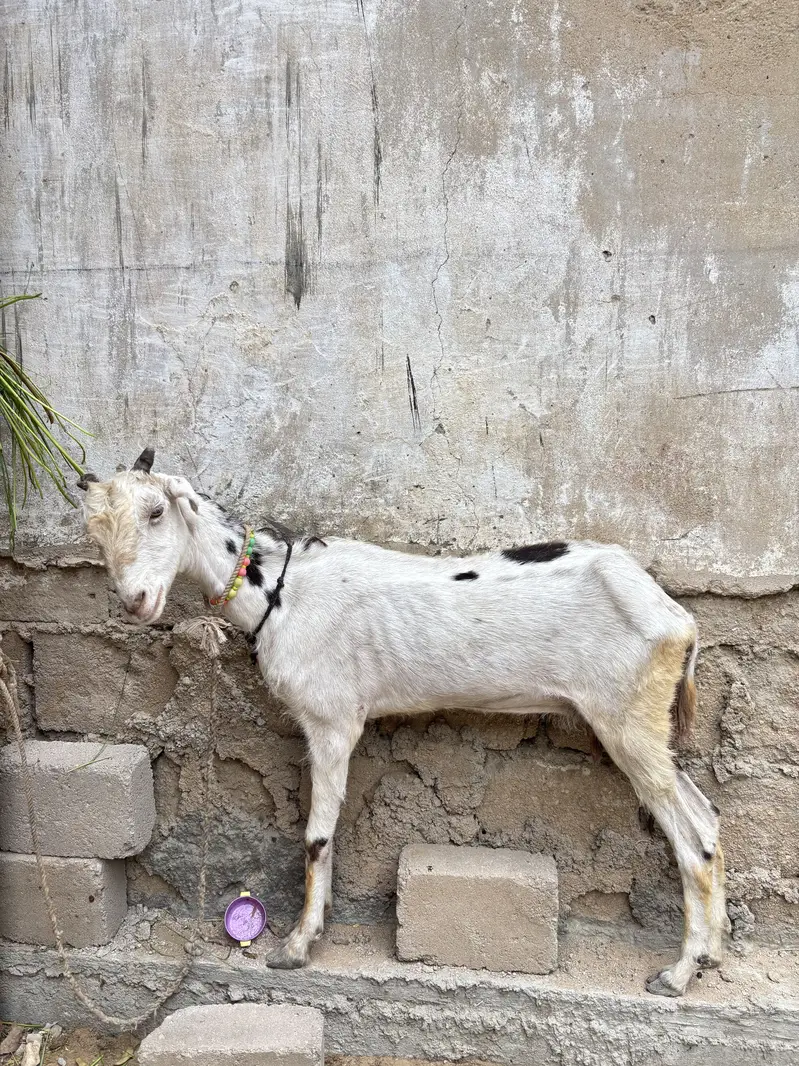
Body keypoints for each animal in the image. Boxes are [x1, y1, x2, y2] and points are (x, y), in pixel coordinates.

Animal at [77, 448, 728, 996]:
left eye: (157, 510)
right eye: (95, 530)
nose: (136, 602)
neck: (280, 589)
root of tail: (677, 617)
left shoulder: (332, 719)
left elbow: (316, 835)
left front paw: (296, 945)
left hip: (627, 715)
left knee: (690, 835)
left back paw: (679, 973)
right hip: (643, 723)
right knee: (707, 816)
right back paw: (712, 953)